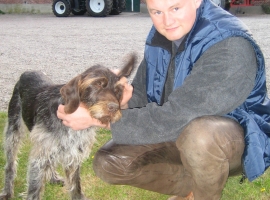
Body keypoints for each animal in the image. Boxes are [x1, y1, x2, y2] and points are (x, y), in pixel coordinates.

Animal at [0, 54, 136, 199]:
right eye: (97, 84)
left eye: (118, 91)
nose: (114, 108)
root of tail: (27, 72)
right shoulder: (40, 158)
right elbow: (34, 190)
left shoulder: (73, 155)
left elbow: (75, 186)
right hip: (13, 132)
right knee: (10, 165)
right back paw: (7, 191)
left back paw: (53, 177)